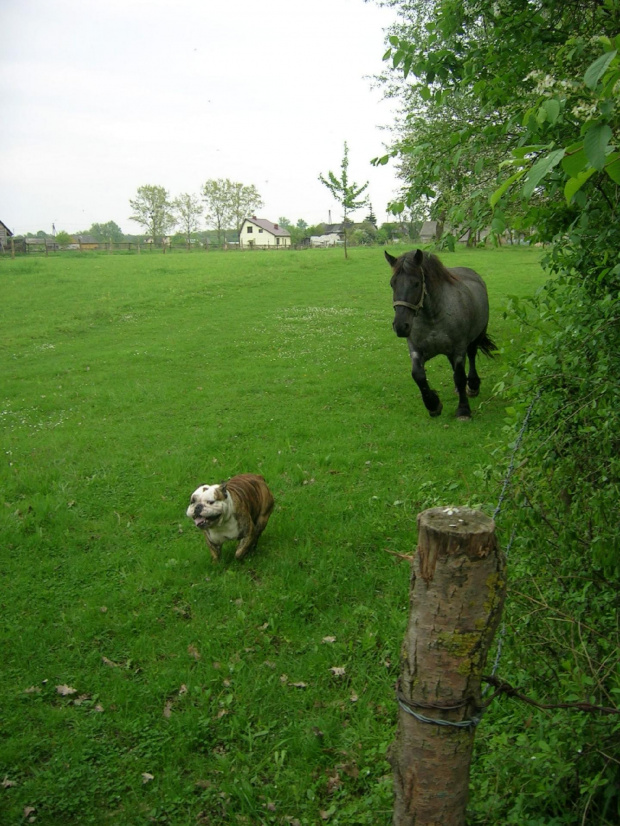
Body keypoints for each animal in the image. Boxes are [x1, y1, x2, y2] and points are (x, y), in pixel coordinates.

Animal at [386, 248, 496, 418]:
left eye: (416, 283)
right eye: (392, 283)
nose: (400, 326)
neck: (433, 317)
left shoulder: (459, 349)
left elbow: (459, 377)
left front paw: (463, 410)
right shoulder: (417, 350)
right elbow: (418, 375)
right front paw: (433, 405)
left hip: (476, 337)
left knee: (471, 356)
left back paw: (472, 386)